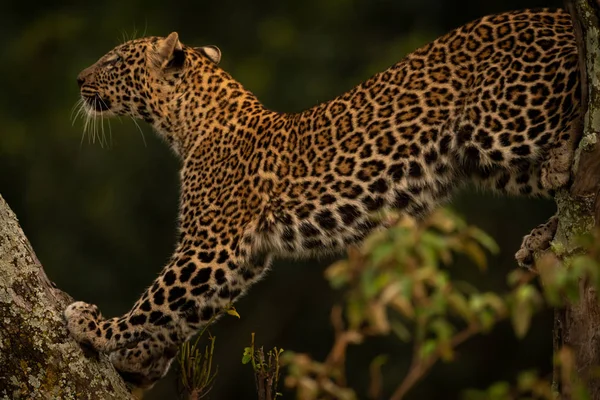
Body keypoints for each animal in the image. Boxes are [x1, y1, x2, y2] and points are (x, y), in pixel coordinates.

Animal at [64, 8, 580, 390]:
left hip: (504, 123)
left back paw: (563, 163)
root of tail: (553, 14)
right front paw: (138, 362)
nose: (78, 79)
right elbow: (178, 314)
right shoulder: (244, 256)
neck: (187, 124)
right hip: (489, 160)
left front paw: (93, 327)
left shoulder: (212, 247)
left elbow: (155, 300)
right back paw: (539, 236)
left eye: (113, 62)